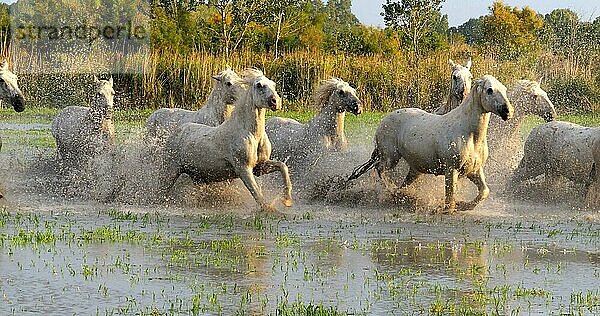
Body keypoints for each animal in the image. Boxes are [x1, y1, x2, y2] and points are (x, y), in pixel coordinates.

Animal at [162, 69, 292, 212]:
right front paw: (270, 209)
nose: (275, 102)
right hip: (170, 171)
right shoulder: (243, 168)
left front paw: (287, 200)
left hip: (196, 175)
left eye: (273, 85)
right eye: (259, 85)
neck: (250, 133)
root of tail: (178, 130)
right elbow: (256, 192)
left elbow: (282, 166)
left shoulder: (259, 167)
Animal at [350, 75, 512, 214]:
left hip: (415, 169)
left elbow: (484, 192)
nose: (507, 111)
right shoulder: (451, 170)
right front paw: (447, 209)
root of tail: (384, 120)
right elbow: (450, 197)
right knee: (380, 170)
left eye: (504, 89)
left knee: (402, 182)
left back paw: (400, 195)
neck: (469, 134)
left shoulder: (474, 170)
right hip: (390, 157)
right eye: (489, 90)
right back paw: (392, 190)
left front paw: (463, 205)